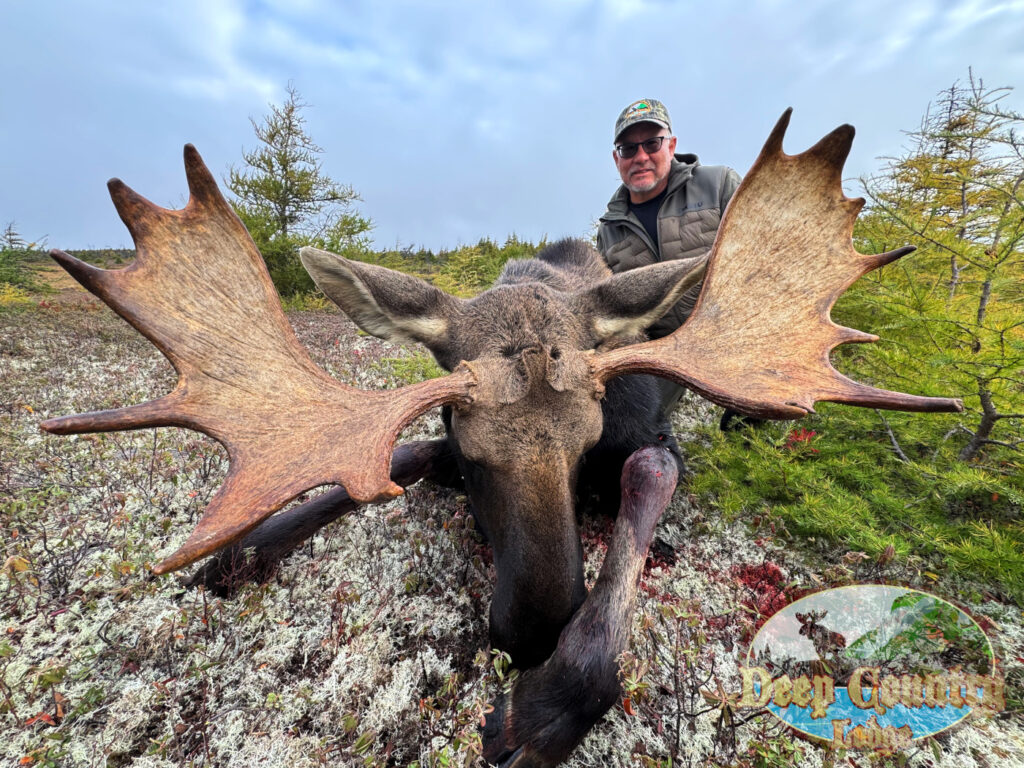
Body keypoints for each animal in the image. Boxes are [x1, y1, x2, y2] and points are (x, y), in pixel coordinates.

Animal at [40, 109, 961, 766]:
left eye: (587, 440)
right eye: (470, 437)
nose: (534, 628)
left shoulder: (656, 444)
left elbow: (631, 529)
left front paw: (539, 713)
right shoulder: (438, 449)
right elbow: (393, 459)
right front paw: (246, 547)